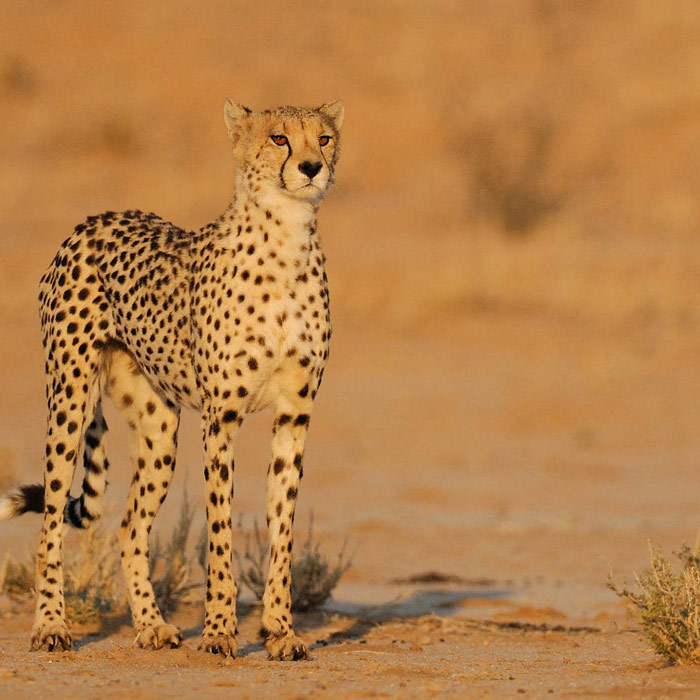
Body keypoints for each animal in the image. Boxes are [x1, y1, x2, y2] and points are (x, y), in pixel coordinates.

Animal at [0, 98, 344, 660]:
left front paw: (280, 632)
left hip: (159, 430)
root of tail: (97, 218)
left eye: (324, 138)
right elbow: (221, 532)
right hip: (69, 399)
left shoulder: (295, 415)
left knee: (128, 529)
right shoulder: (221, 418)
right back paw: (51, 626)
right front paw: (220, 632)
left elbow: (283, 531)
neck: (288, 238)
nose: (312, 167)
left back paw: (151, 625)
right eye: (278, 138)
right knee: (50, 524)